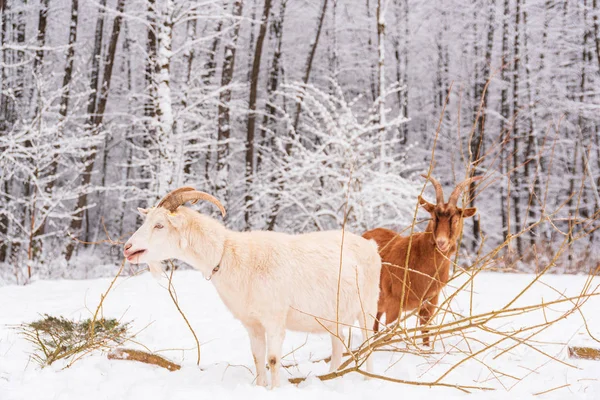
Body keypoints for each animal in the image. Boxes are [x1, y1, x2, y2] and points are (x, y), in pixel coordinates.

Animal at [124, 188, 382, 388]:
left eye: (159, 225)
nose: (128, 248)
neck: (229, 255)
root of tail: (371, 246)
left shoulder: (275, 320)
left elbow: (274, 359)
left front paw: (275, 390)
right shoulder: (252, 323)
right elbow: (258, 358)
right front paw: (260, 387)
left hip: (367, 307)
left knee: (369, 343)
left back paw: (368, 379)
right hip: (334, 318)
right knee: (338, 347)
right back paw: (332, 377)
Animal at [360, 175, 482, 346]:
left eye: (456, 220)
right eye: (433, 217)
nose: (441, 242)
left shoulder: (430, 303)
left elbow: (425, 333)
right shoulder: (394, 303)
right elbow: (389, 334)